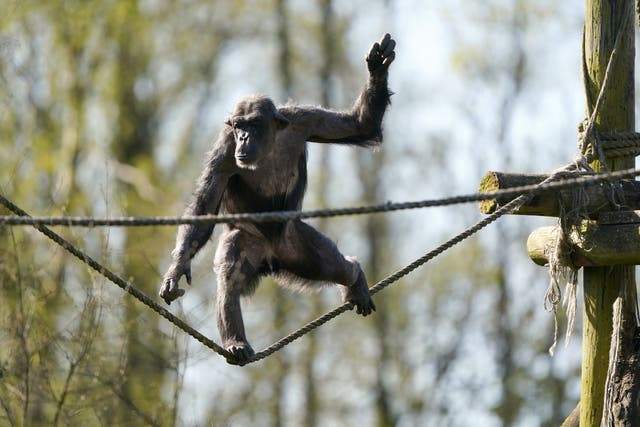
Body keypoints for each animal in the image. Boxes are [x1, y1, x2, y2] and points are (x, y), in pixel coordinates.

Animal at [161, 33, 396, 362]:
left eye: (252, 123)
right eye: (239, 125)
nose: (244, 136)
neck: (268, 143)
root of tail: (272, 258)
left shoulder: (306, 120)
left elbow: (359, 125)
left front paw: (377, 66)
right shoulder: (224, 148)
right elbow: (205, 207)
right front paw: (177, 268)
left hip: (299, 246)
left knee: (331, 263)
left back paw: (355, 276)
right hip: (250, 241)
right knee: (232, 273)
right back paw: (236, 342)